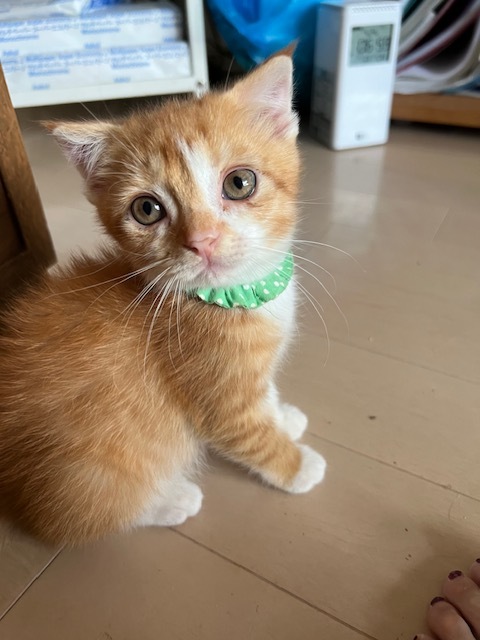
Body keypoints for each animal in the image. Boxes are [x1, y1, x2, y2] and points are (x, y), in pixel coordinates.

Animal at [0, 50, 326, 546]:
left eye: (240, 183)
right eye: (147, 209)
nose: (203, 241)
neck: (236, 295)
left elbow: (264, 394)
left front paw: (281, 414)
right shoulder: (217, 396)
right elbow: (251, 435)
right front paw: (296, 464)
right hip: (90, 472)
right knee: (79, 516)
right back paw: (171, 500)